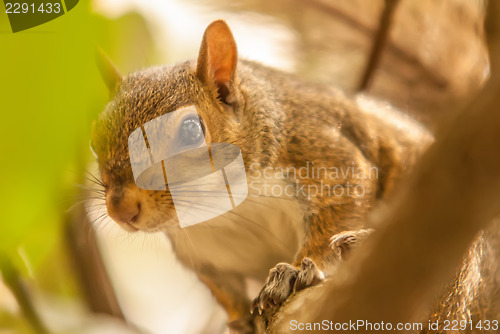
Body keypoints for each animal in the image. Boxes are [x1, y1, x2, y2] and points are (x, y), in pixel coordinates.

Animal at [92, 19, 436, 332]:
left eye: (191, 131)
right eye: (95, 139)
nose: (121, 210)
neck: (227, 210)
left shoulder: (327, 157)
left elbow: (333, 220)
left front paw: (296, 272)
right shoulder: (204, 256)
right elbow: (225, 291)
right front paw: (239, 320)